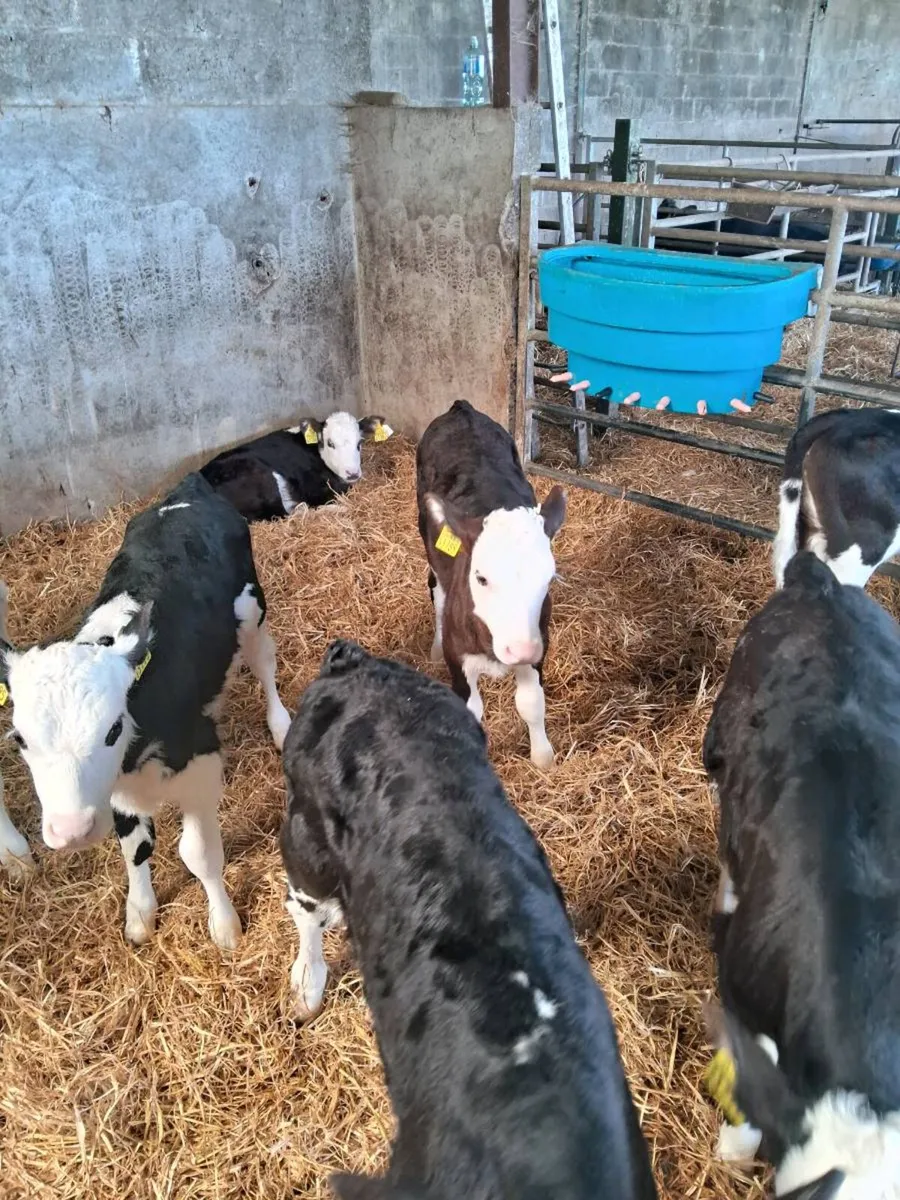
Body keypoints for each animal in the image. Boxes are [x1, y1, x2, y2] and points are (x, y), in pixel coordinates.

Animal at [0, 472, 291, 950]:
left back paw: (281, 725)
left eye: (111, 730)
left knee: (264, 664)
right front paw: (140, 912)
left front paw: (225, 925)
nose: (70, 831)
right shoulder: (118, 790)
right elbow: (134, 846)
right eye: (20, 739)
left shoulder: (201, 764)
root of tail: (186, 491)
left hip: (252, 610)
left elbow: (199, 854)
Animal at [200, 412, 392, 522]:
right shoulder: (318, 491)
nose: (352, 473)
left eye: (359, 442)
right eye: (330, 443)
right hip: (260, 477)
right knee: (284, 515)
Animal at [415, 400, 566, 769]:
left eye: (548, 579)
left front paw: (543, 757)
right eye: (481, 578)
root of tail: (462, 408)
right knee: (437, 591)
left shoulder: (539, 645)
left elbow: (531, 702)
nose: (520, 649)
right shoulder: (460, 662)